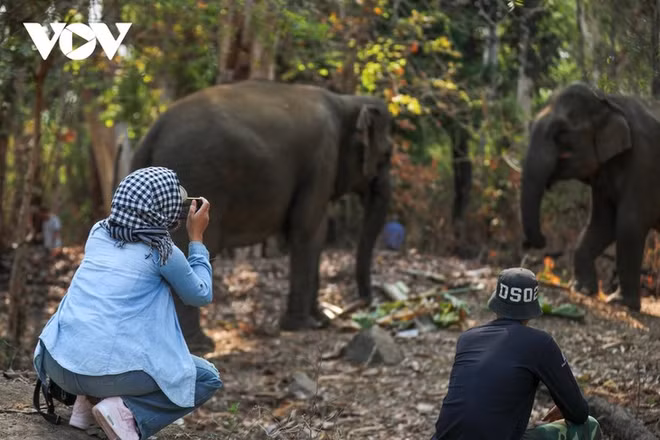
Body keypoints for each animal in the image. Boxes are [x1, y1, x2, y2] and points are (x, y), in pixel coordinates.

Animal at [130, 80, 392, 351]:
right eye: (388, 154)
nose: (366, 304)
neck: (345, 102)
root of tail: (154, 131)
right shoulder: (322, 161)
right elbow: (307, 230)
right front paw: (304, 325)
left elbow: (314, 235)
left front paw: (320, 319)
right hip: (195, 174)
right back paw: (200, 346)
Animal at [521, 82, 660, 312]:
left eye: (561, 132)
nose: (542, 241)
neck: (609, 100)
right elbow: (602, 224)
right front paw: (581, 289)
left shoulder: (645, 161)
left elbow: (629, 224)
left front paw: (620, 302)